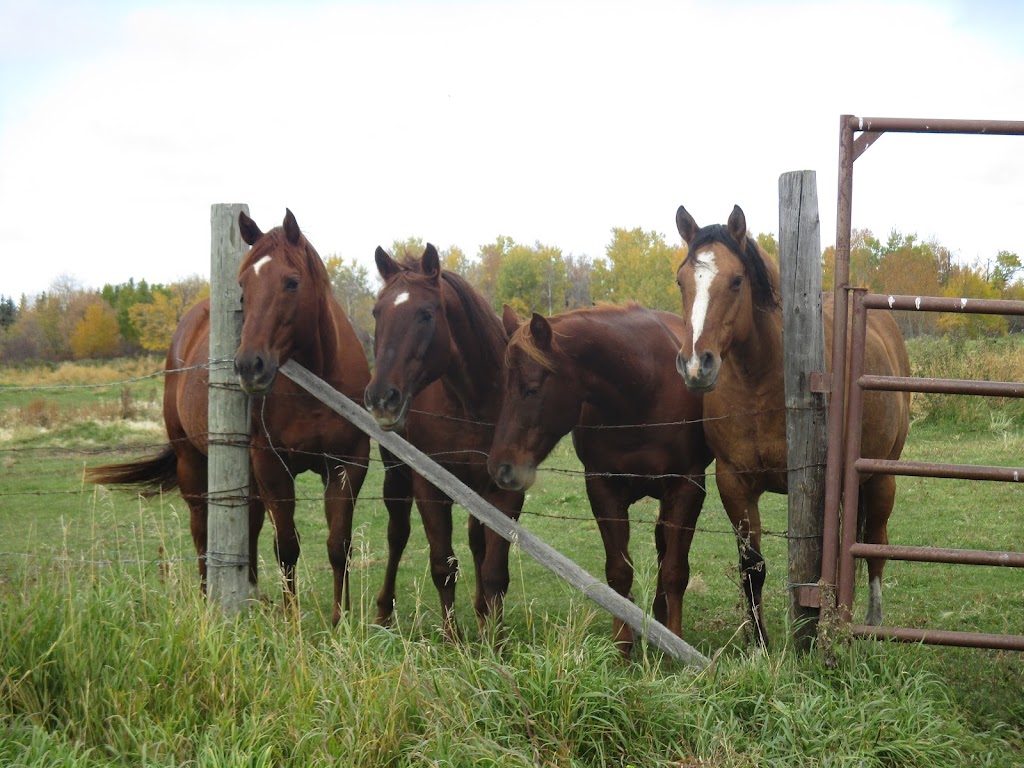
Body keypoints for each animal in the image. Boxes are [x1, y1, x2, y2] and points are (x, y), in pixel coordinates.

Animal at [89, 210, 372, 626]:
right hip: (192, 463)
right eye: (242, 286)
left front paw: (342, 622)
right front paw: (292, 622)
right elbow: (286, 546)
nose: (249, 365)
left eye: (291, 282)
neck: (317, 386)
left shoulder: (347, 464)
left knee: (249, 524)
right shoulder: (272, 465)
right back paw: (210, 598)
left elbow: (339, 544)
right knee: (202, 530)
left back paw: (250, 595)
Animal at [362, 246, 524, 643]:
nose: (381, 398)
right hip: (396, 478)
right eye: (377, 312)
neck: (471, 403)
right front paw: (452, 640)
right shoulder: (429, 486)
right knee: (397, 536)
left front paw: (496, 641)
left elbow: (495, 571)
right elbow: (442, 565)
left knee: (477, 543)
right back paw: (383, 612)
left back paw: (481, 614)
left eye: (426, 313)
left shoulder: (506, 492)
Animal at [487, 305, 712, 655]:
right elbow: (618, 572)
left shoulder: (688, 487)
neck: (643, 392)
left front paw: (675, 646)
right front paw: (622, 647)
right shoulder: (602, 488)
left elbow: (675, 571)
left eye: (532, 389)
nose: (502, 469)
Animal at [675, 202, 909, 643]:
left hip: (881, 477)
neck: (761, 383)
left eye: (736, 280)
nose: (697, 365)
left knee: (876, 545)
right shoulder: (734, 484)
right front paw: (759, 643)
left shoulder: (818, 484)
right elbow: (753, 568)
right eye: (680, 281)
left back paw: (872, 622)